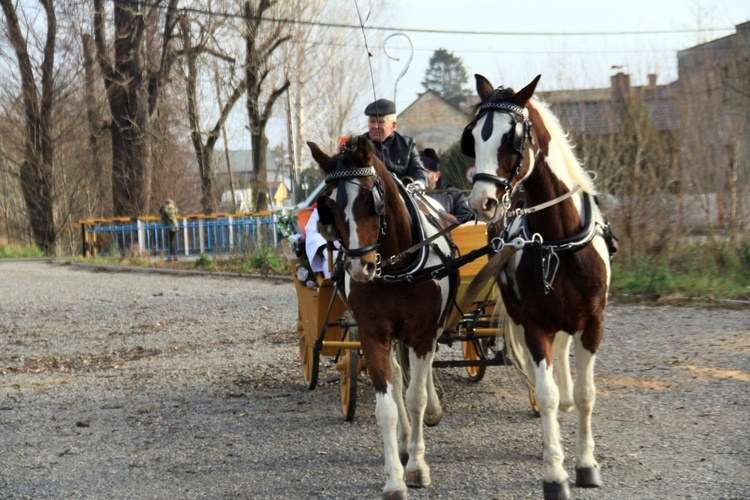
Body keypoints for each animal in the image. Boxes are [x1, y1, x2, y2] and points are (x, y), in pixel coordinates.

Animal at [308, 136, 456, 500]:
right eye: (328, 206)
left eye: (369, 200)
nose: (360, 268)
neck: (396, 264)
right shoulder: (374, 332)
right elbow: (387, 406)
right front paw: (394, 478)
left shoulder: (423, 332)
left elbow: (416, 398)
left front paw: (417, 466)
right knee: (398, 375)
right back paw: (403, 441)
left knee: (419, 379)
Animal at [468, 74, 620, 500]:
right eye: (474, 137)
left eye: (512, 138)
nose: (482, 202)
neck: (558, 239)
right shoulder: (536, 326)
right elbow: (547, 394)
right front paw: (555, 474)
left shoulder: (593, 324)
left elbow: (586, 395)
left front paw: (586, 465)